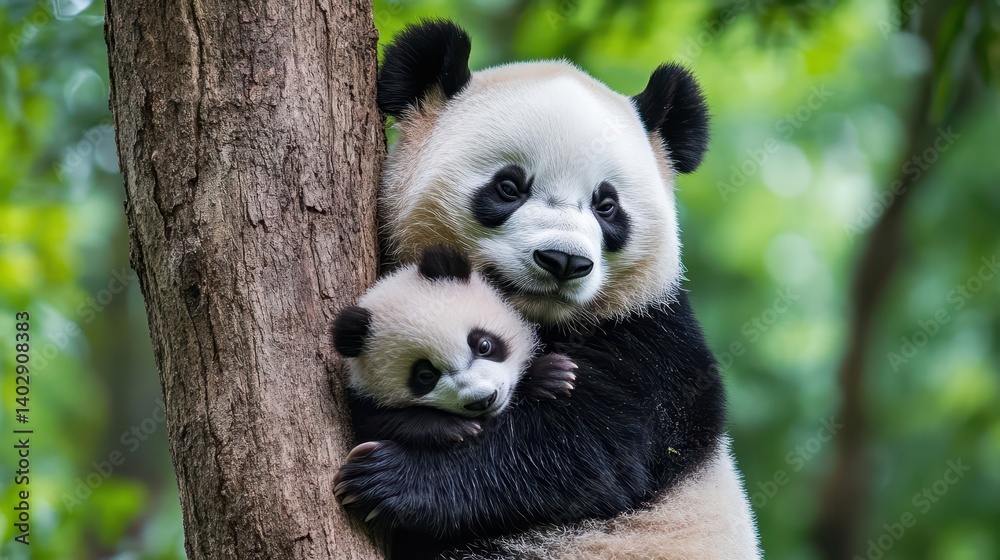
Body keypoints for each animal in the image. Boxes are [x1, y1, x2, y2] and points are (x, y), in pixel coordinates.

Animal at [332, 245, 577, 450]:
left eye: (484, 345)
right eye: (425, 376)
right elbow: (378, 421)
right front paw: (451, 428)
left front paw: (551, 375)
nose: (483, 400)